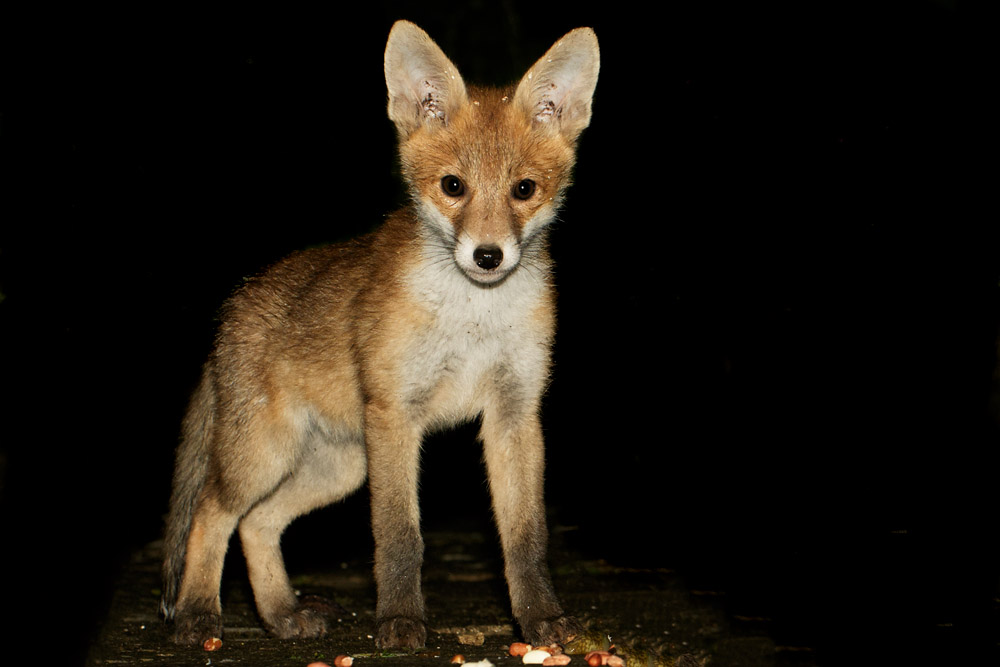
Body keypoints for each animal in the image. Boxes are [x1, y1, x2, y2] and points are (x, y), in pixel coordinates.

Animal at [159, 20, 599, 650]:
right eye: (453, 185)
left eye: (524, 189)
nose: (488, 256)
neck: (473, 318)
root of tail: (231, 311)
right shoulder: (395, 413)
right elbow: (398, 538)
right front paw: (398, 621)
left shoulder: (514, 411)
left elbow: (525, 539)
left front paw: (542, 619)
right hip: (268, 454)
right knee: (210, 513)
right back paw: (198, 616)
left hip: (338, 466)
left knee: (256, 524)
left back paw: (281, 616)